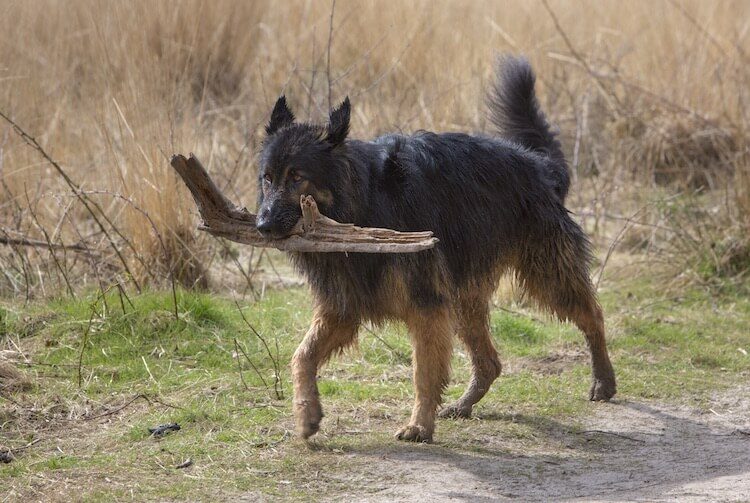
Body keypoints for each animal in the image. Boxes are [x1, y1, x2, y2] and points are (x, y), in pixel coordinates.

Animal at [256, 56, 620, 440]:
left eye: (297, 178)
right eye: (267, 178)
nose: (262, 226)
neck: (363, 200)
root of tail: (540, 166)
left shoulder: (426, 306)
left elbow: (424, 373)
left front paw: (419, 425)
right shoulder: (342, 308)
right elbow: (302, 357)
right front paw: (306, 413)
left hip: (547, 275)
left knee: (592, 316)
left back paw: (604, 381)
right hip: (464, 299)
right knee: (489, 362)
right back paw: (464, 404)